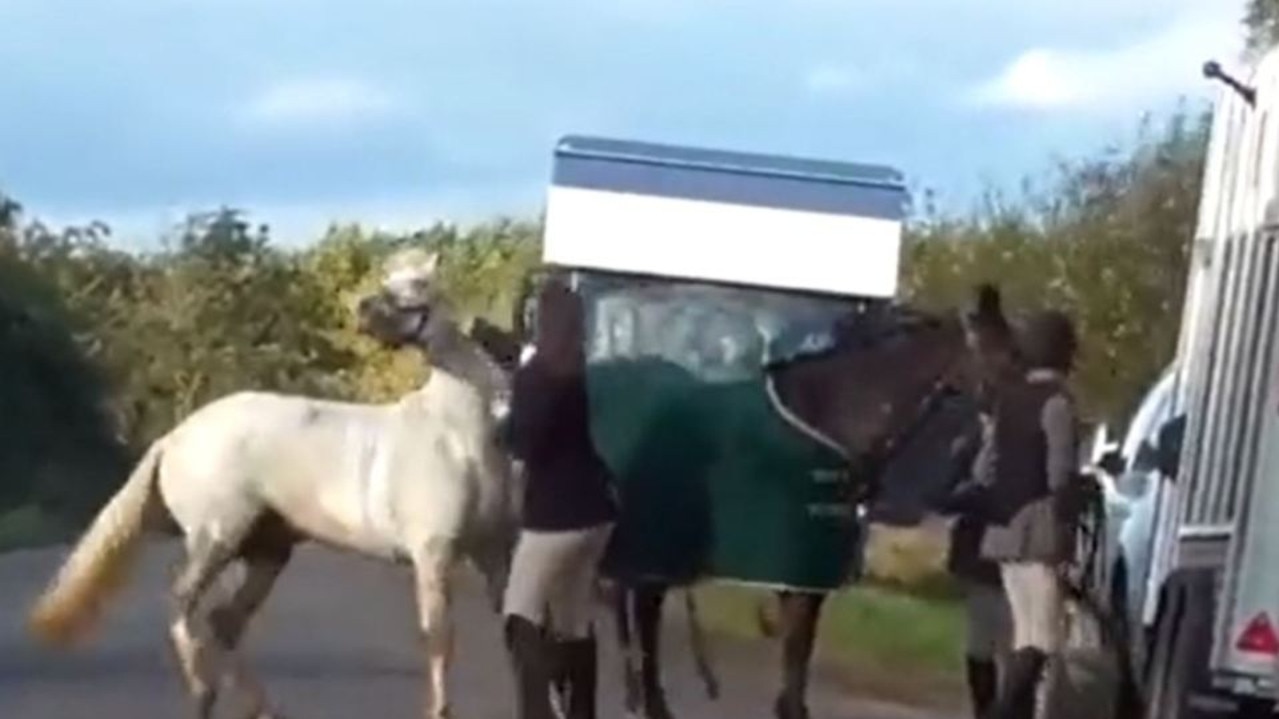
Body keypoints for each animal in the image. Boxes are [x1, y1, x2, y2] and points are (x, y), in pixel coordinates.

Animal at [24, 248, 516, 716]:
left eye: (419, 283)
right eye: (389, 280)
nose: (364, 310)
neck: (457, 433)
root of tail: (173, 438)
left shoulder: (493, 554)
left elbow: (513, 628)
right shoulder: (432, 554)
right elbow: (439, 638)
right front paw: (439, 710)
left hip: (267, 553)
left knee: (224, 621)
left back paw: (259, 708)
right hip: (216, 538)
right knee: (184, 603)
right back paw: (203, 692)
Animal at [613, 284, 1012, 716]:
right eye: (996, 349)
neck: (825, 421)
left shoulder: (813, 574)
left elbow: (801, 649)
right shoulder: (796, 569)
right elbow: (796, 646)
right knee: (643, 612)